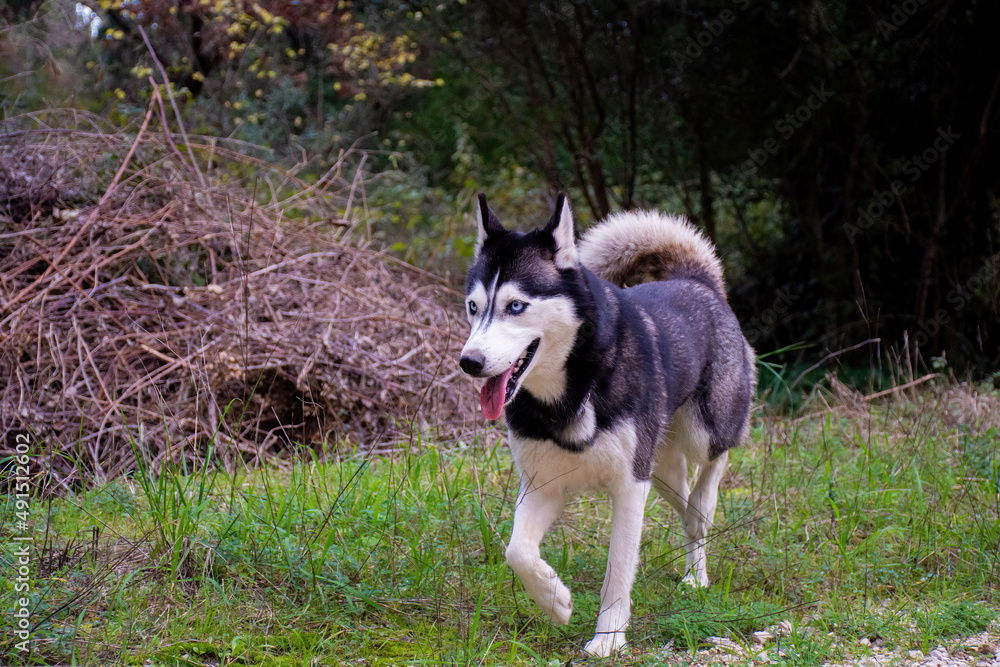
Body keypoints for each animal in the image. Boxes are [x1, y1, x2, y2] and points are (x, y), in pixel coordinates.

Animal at [458, 193, 752, 656]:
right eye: (474, 306)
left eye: (515, 306)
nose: (468, 362)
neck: (572, 390)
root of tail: (697, 282)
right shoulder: (543, 485)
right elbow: (517, 552)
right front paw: (556, 601)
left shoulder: (630, 487)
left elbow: (618, 569)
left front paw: (608, 637)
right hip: (660, 469)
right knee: (685, 501)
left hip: (701, 434)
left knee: (708, 482)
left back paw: (698, 552)